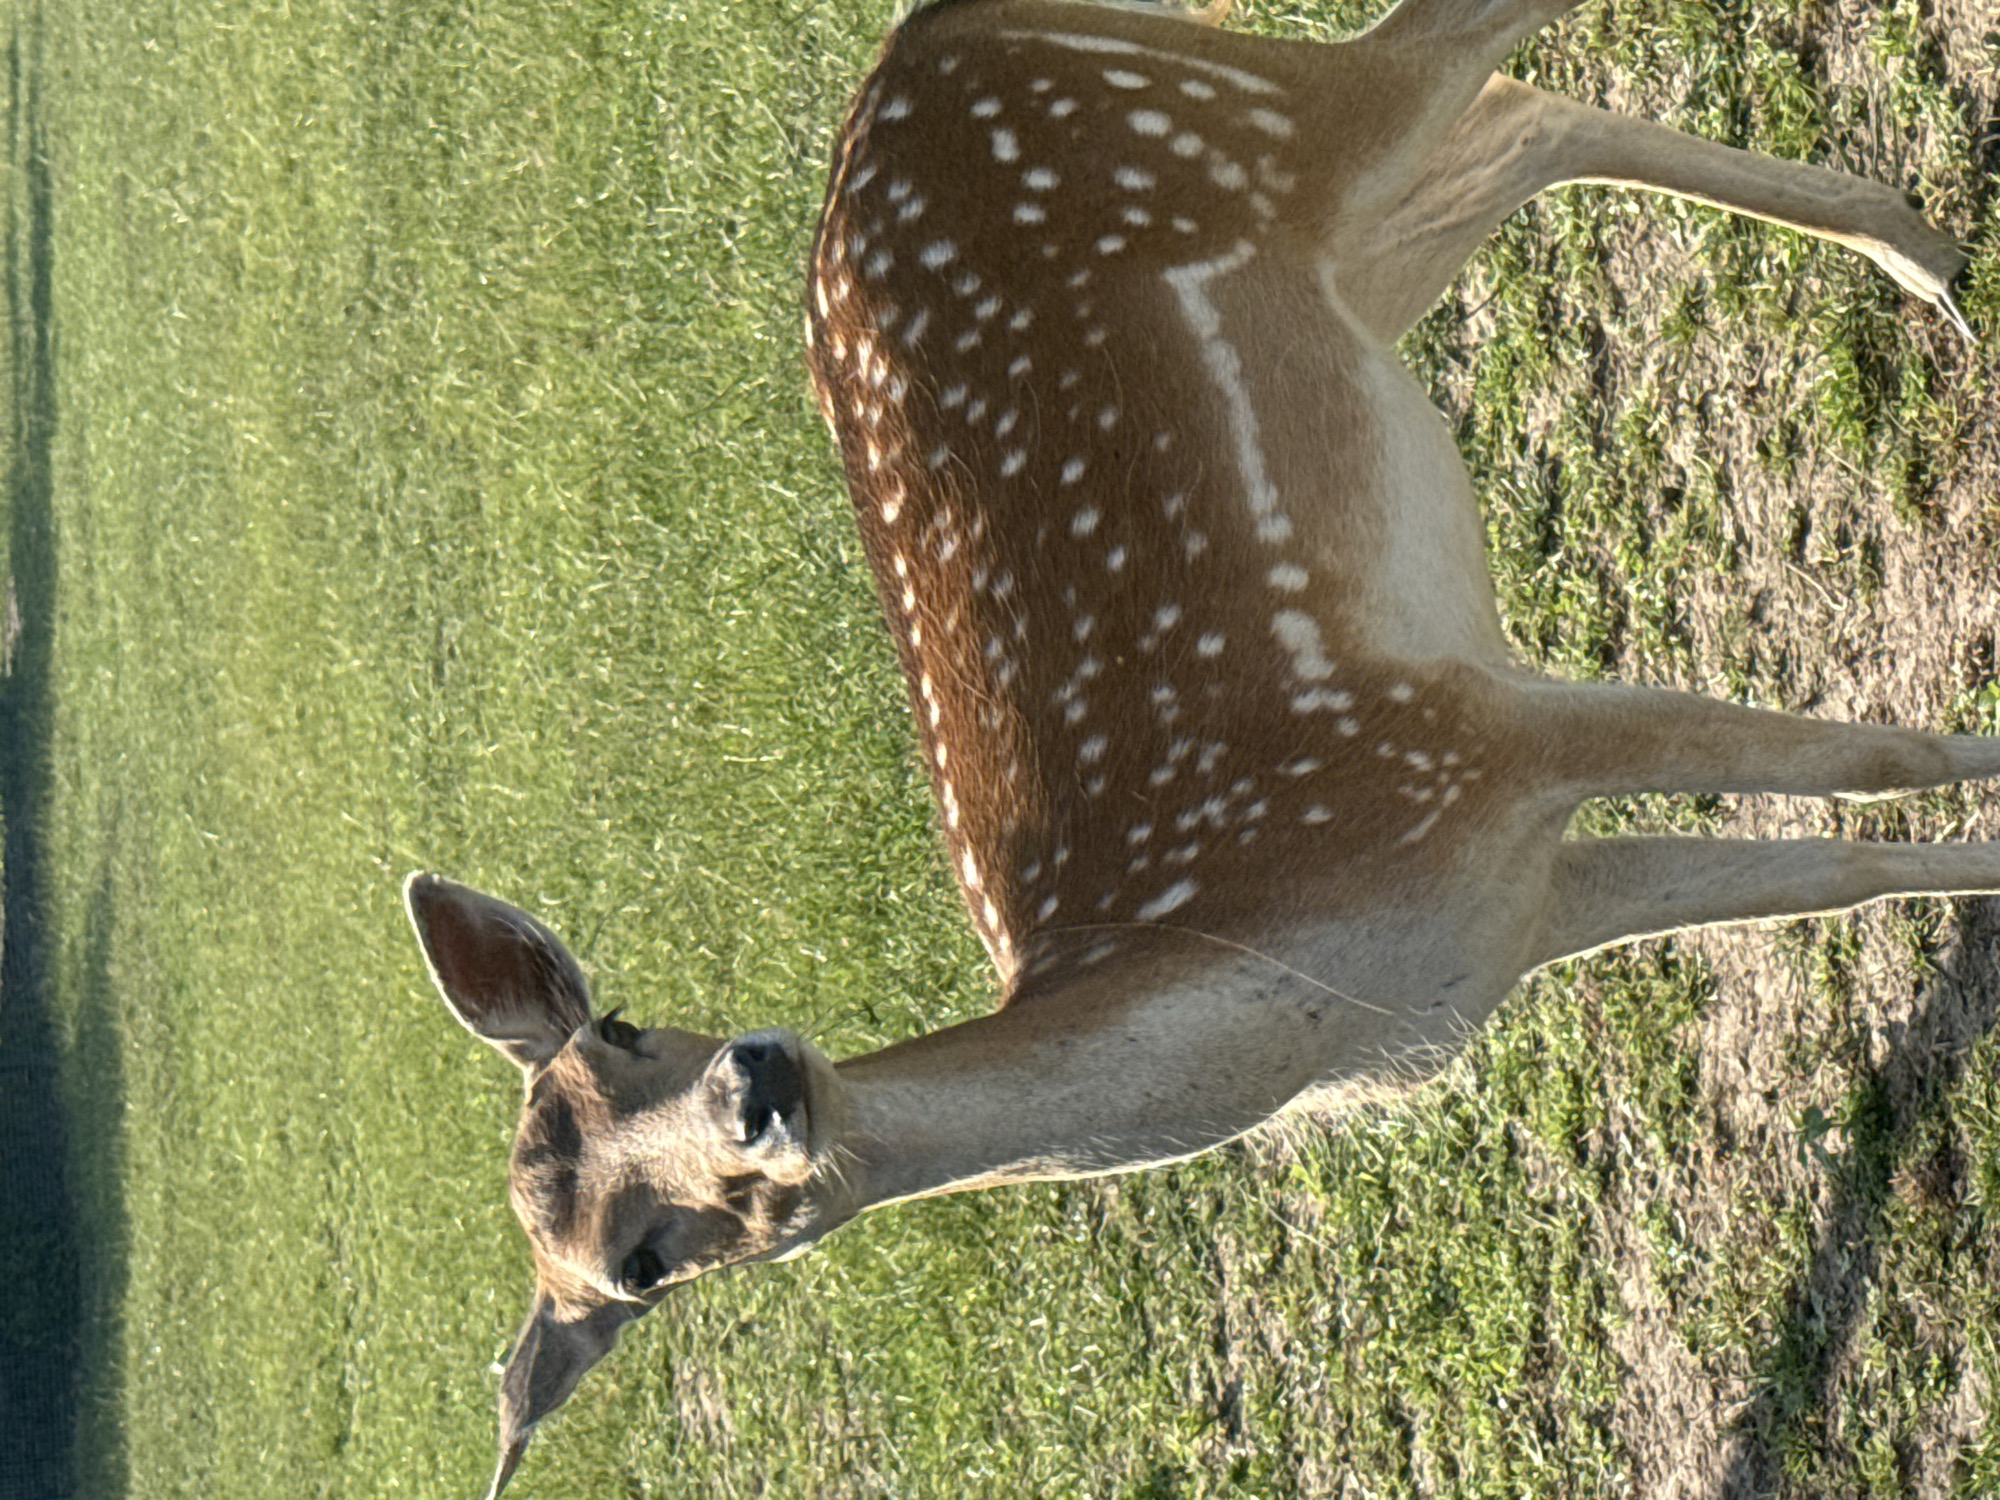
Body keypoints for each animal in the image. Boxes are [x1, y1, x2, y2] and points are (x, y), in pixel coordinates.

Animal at [402, 0, 1994, 1493]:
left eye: (624, 1025)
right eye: (641, 1267)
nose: (757, 1085)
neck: (1290, 997)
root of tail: (928, 37)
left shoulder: (1445, 729)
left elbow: (1869, 769)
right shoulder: (1508, 897)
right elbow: (1832, 871)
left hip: (1266, 129)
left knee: (1461, 50)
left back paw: (1926, 255)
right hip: (1354, 243)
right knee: (1523, 120)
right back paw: (1928, 257)